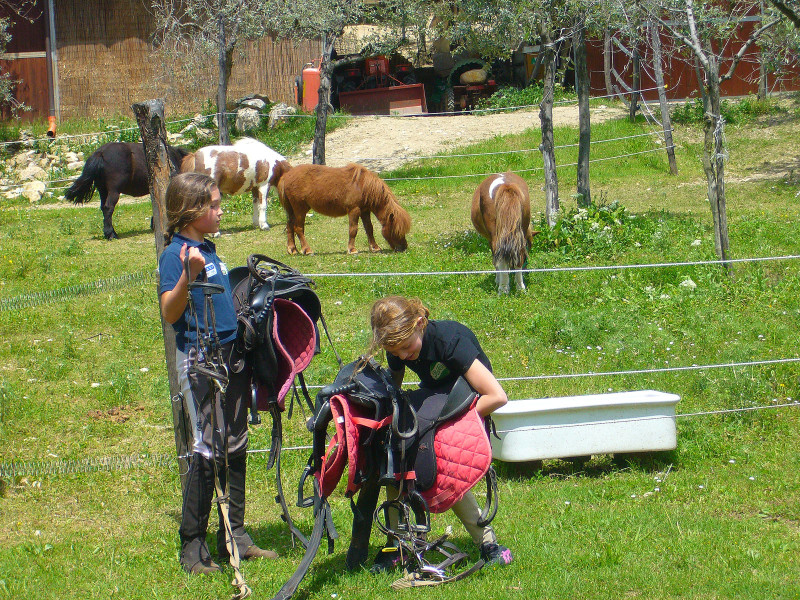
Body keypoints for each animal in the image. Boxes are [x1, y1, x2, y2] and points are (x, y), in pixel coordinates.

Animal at [276, 163, 412, 254]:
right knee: (298, 228)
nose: (403, 247)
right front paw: (352, 249)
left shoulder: (365, 211)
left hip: (292, 210)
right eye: (396, 230)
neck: (362, 184)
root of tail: (286, 175)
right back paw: (307, 249)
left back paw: (292, 249)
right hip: (300, 209)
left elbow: (369, 228)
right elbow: (353, 230)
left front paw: (374, 247)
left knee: (289, 226)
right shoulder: (354, 210)